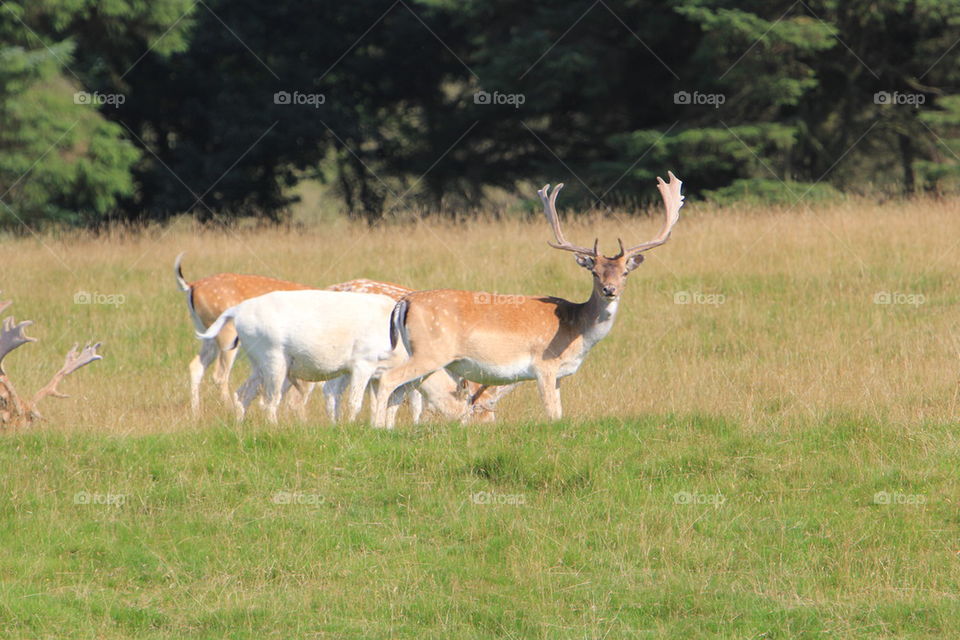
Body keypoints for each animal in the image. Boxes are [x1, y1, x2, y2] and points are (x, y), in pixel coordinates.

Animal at [372, 172, 683, 427]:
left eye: (624, 272)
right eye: (594, 272)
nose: (610, 289)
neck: (577, 330)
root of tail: (404, 302)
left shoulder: (558, 375)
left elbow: (560, 412)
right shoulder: (544, 365)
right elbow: (552, 414)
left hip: (422, 355)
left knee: (400, 389)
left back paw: (389, 429)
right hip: (431, 352)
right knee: (387, 379)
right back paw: (376, 428)